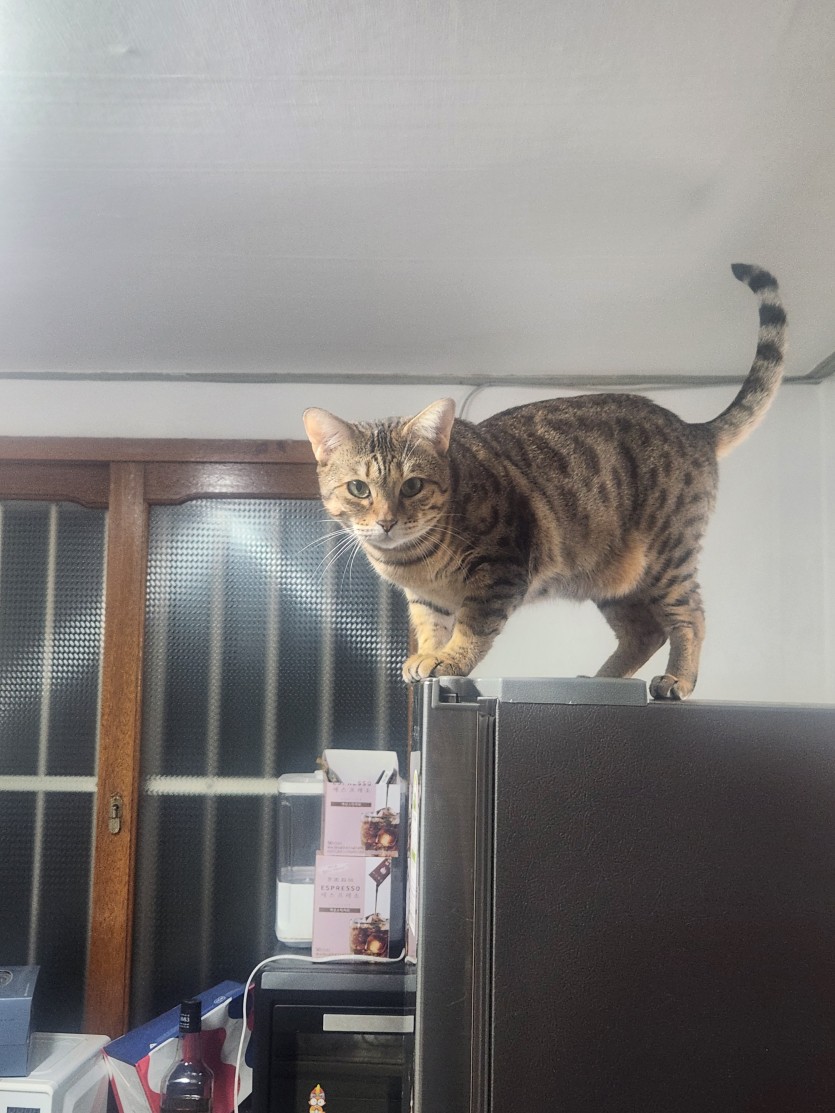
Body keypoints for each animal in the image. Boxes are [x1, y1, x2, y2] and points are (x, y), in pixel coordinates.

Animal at [303, 264, 786, 700]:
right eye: (359, 488)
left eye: (412, 486)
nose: (386, 521)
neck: (412, 561)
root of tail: (694, 428)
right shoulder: (426, 598)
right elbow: (431, 627)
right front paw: (427, 654)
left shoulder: (500, 569)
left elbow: (473, 626)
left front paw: (449, 659)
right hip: (615, 579)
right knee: (644, 632)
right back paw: (601, 680)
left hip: (669, 557)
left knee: (690, 617)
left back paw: (678, 679)